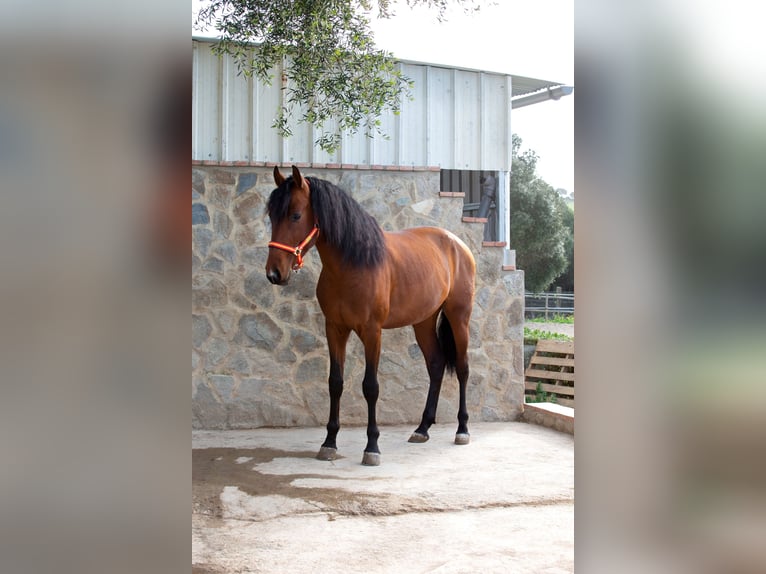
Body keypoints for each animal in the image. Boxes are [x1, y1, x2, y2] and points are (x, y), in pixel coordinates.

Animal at [268, 166, 476, 468]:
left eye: (295, 215)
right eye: (271, 215)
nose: (274, 273)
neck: (353, 263)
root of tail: (459, 245)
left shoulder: (372, 331)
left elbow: (371, 387)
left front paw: (372, 447)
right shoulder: (334, 329)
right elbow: (335, 383)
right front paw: (329, 443)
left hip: (459, 318)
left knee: (462, 369)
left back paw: (462, 429)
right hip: (423, 321)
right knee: (436, 365)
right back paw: (422, 429)